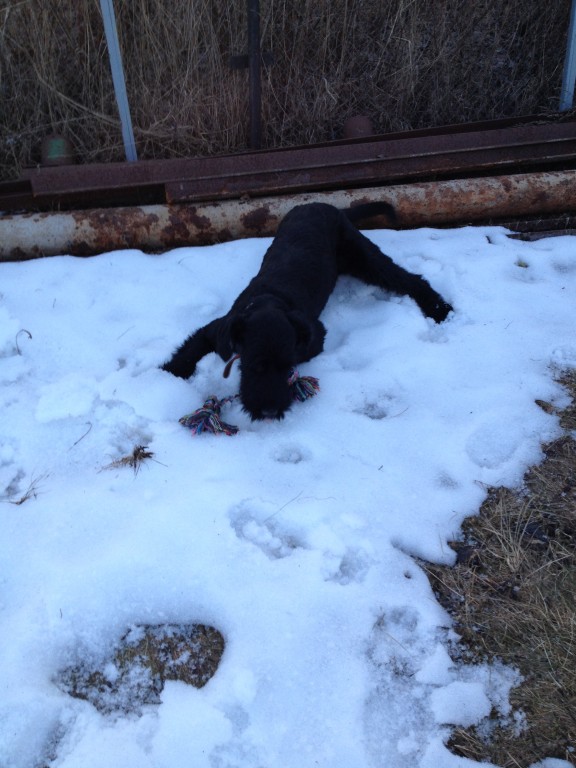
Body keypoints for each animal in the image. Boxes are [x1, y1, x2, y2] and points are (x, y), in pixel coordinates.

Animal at [162, 202, 452, 420]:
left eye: (287, 367)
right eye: (255, 365)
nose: (269, 411)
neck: (269, 301)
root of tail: (329, 206)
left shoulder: (315, 335)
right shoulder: (216, 329)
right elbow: (189, 350)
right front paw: (165, 375)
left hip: (364, 256)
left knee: (409, 279)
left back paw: (440, 309)